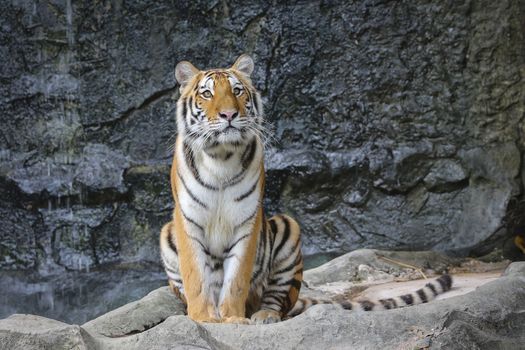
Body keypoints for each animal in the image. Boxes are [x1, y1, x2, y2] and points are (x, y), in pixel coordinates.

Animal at [158, 54, 452, 326]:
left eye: (237, 91)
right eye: (207, 93)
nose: (229, 115)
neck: (221, 155)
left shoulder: (246, 222)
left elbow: (236, 281)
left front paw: (233, 317)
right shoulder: (188, 221)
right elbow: (196, 278)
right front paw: (204, 319)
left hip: (287, 228)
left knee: (276, 301)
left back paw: (263, 315)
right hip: (167, 233)